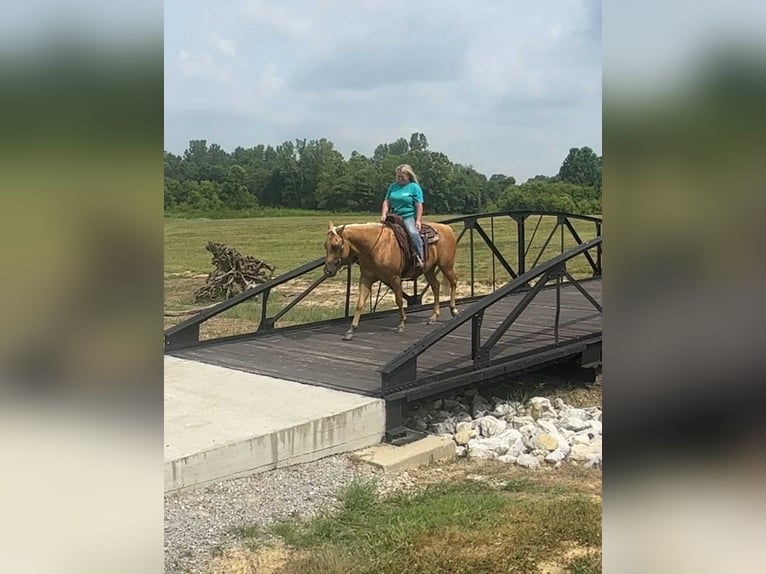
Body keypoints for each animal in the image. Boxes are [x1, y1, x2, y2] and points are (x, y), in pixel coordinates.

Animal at [323, 220, 459, 340]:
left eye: (336, 246)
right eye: (325, 245)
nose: (328, 270)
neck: (376, 247)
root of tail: (447, 228)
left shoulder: (395, 278)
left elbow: (399, 300)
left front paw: (401, 324)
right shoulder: (366, 279)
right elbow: (360, 303)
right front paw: (351, 330)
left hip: (446, 266)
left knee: (453, 282)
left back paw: (453, 309)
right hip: (429, 269)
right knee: (435, 286)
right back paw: (433, 317)